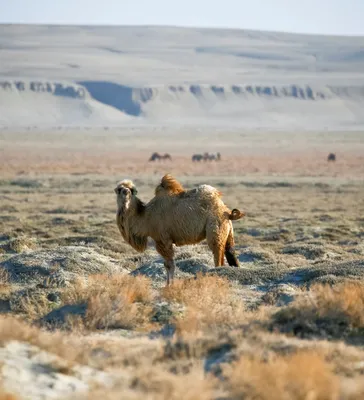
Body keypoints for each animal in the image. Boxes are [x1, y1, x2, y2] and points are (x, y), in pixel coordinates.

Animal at [114, 175, 245, 284]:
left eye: (132, 190)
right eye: (120, 189)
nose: (126, 192)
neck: (146, 217)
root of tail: (227, 212)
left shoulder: (163, 240)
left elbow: (169, 265)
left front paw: (169, 285)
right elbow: (167, 264)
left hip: (215, 229)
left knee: (218, 258)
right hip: (227, 233)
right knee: (231, 254)